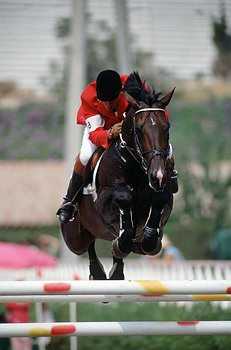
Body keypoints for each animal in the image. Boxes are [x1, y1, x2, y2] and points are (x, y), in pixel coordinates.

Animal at [60, 73, 176, 278]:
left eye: (167, 127)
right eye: (139, 129)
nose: (158, 175)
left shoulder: (165, 195)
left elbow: (160, 200)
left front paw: (147, 238)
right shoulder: (104, 201)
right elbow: (124, 200)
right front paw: (123, 241)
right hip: (74, 238)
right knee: (88, 244)